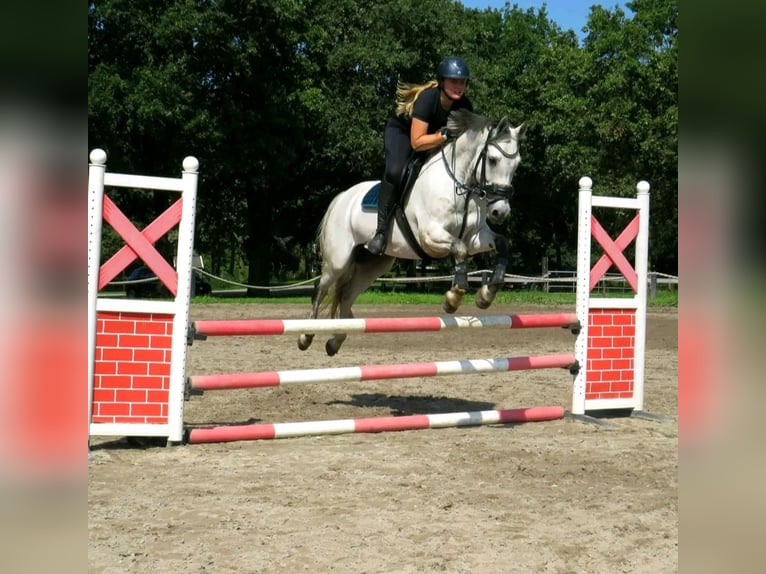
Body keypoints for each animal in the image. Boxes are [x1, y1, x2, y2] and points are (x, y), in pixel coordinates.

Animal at [300, 109, 528, 356]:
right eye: (493, 160)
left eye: (517, 164)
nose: (500, 212)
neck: (459, 184)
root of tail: (342, 197)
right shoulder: (430, 236)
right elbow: (459, 249)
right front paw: (453, 298)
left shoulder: (476, 236)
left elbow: (501, 244)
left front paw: (486, 294)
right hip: (338, 260)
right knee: (321, 289)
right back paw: (306, 335)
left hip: (374, 264)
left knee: (347, 294)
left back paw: (335, 340)